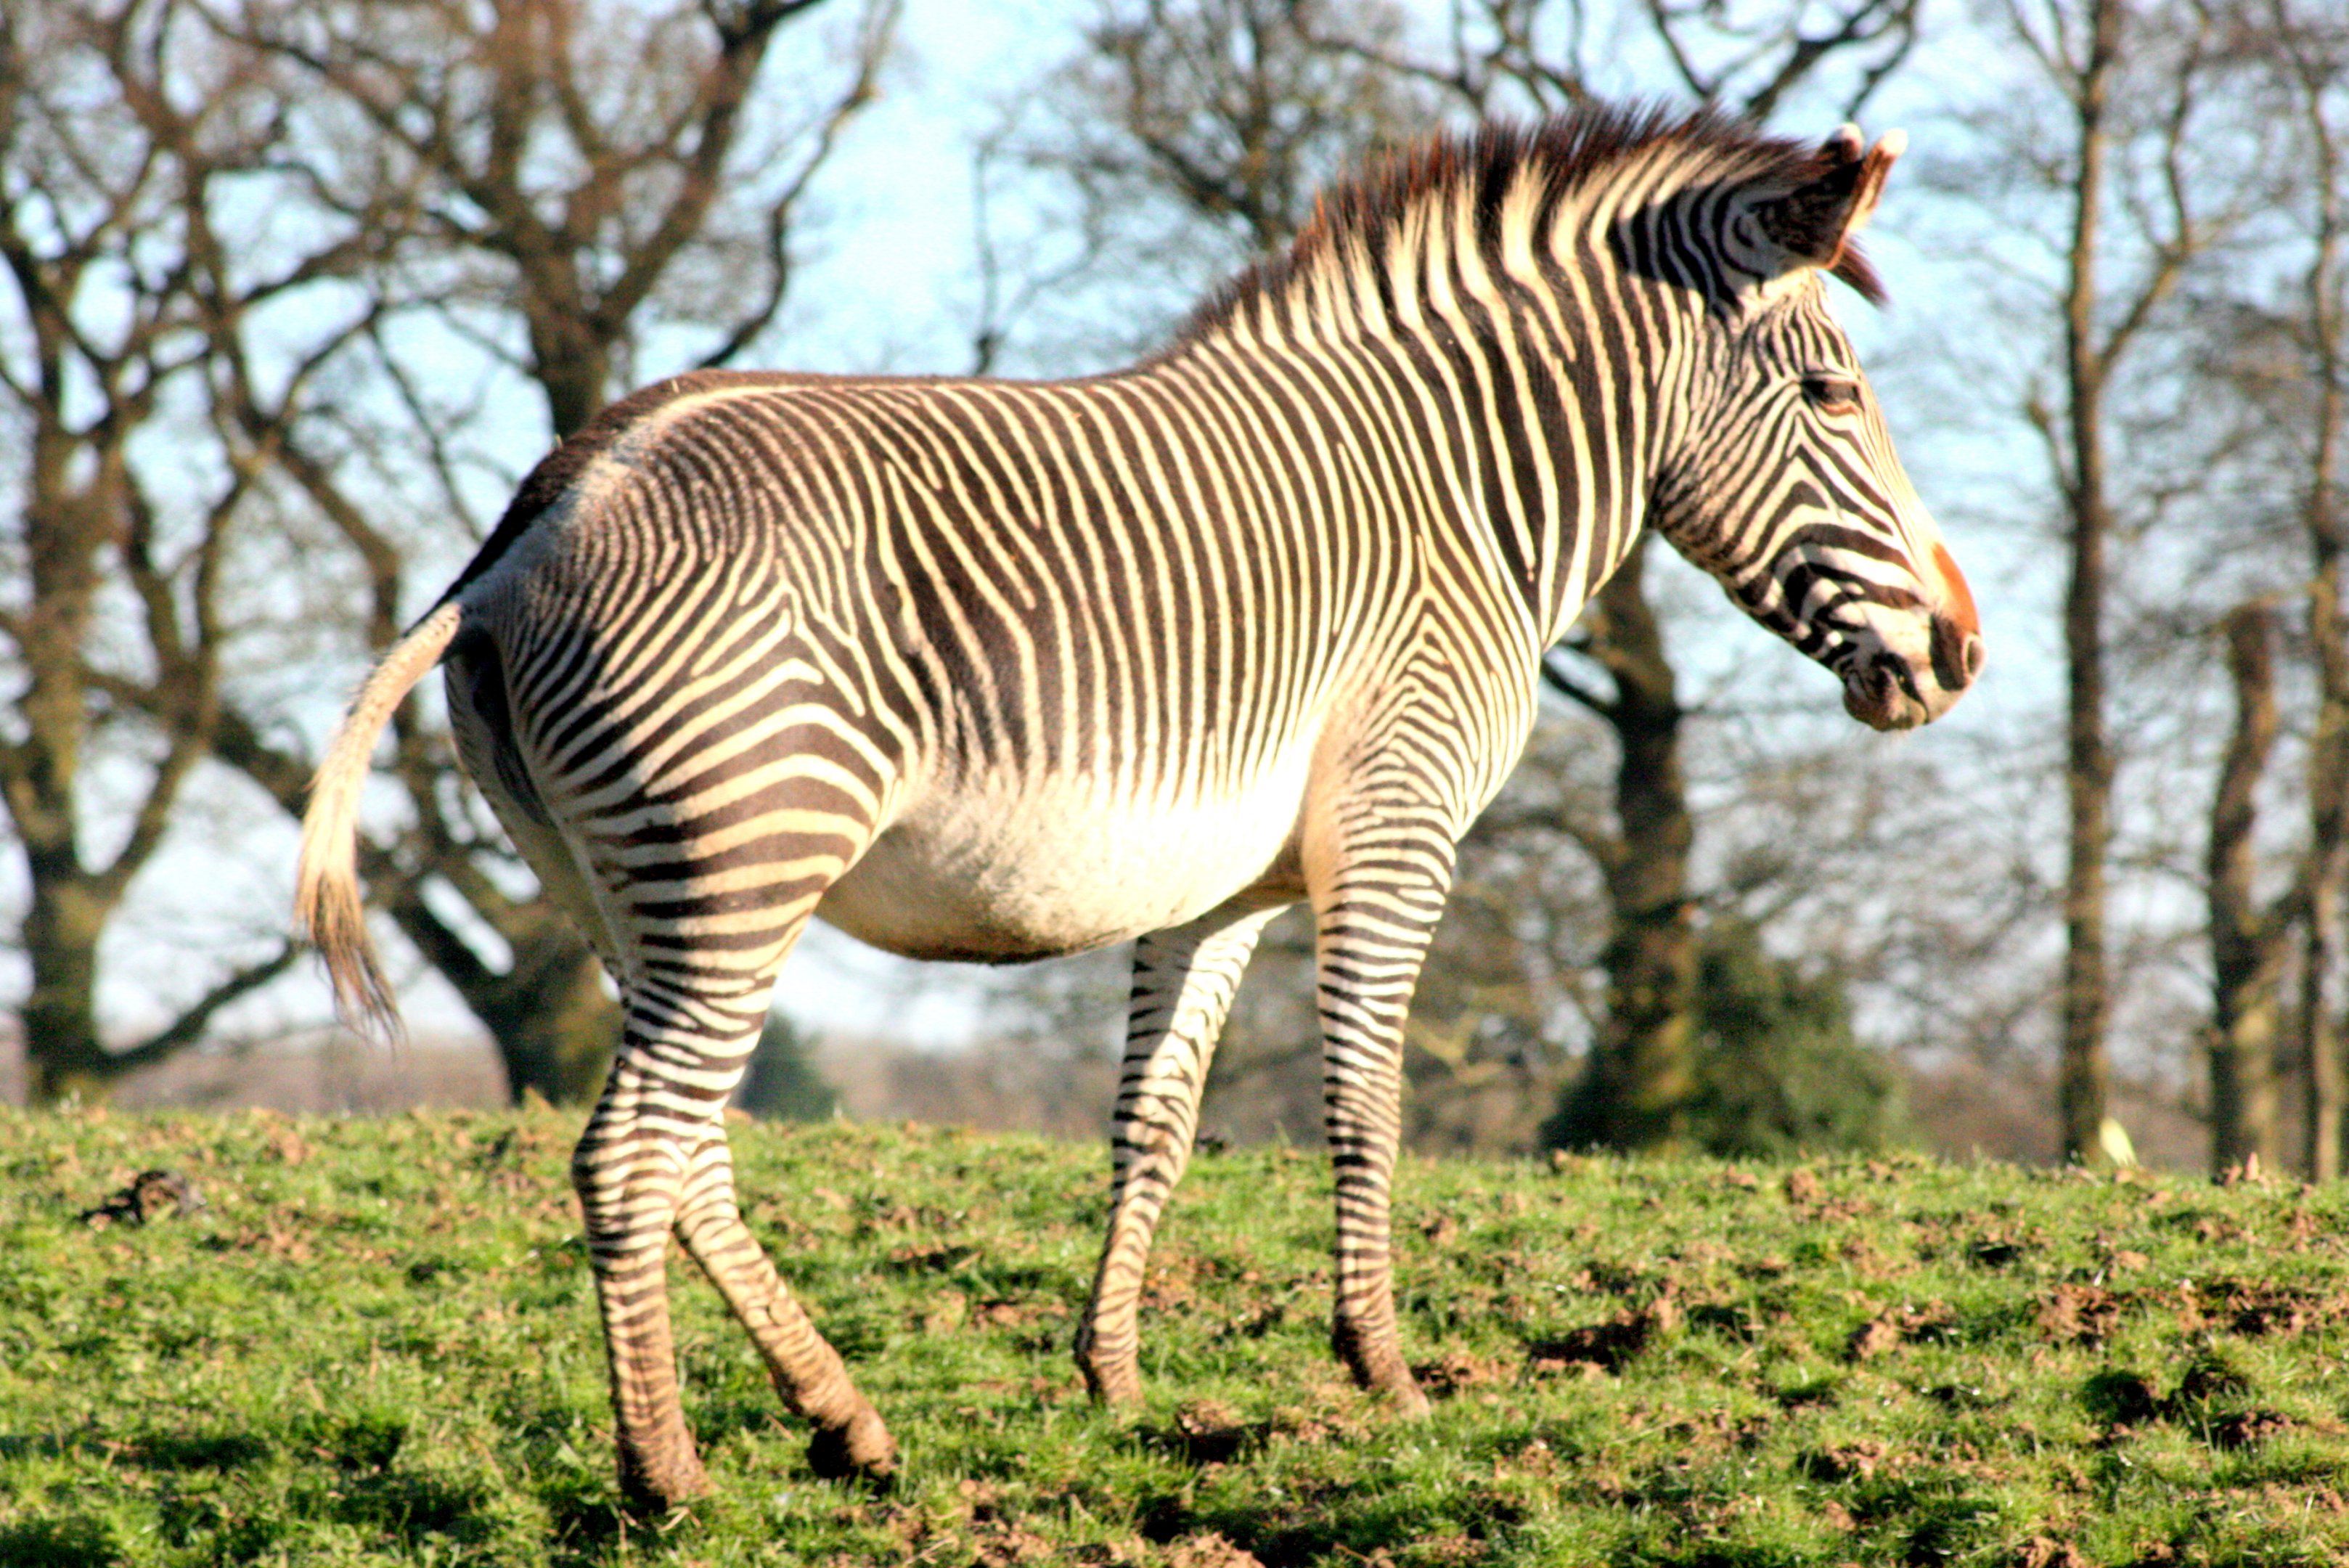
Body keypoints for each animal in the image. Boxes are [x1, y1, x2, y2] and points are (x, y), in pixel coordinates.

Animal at [296, 103, 1980, 1502]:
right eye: (1835, 392)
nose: (1960, 653)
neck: (1452, 495)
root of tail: (537, 518)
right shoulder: (1399, 823)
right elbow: (1364, 1101)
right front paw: (1386, 1373)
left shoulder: (1218, 885)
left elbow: (1154, 1124)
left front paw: (1111, 1377)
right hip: (743, 859)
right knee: (629, 1154)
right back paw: (669, 1477)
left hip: (620, 888)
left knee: (688, 1157)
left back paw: (845, 1423)